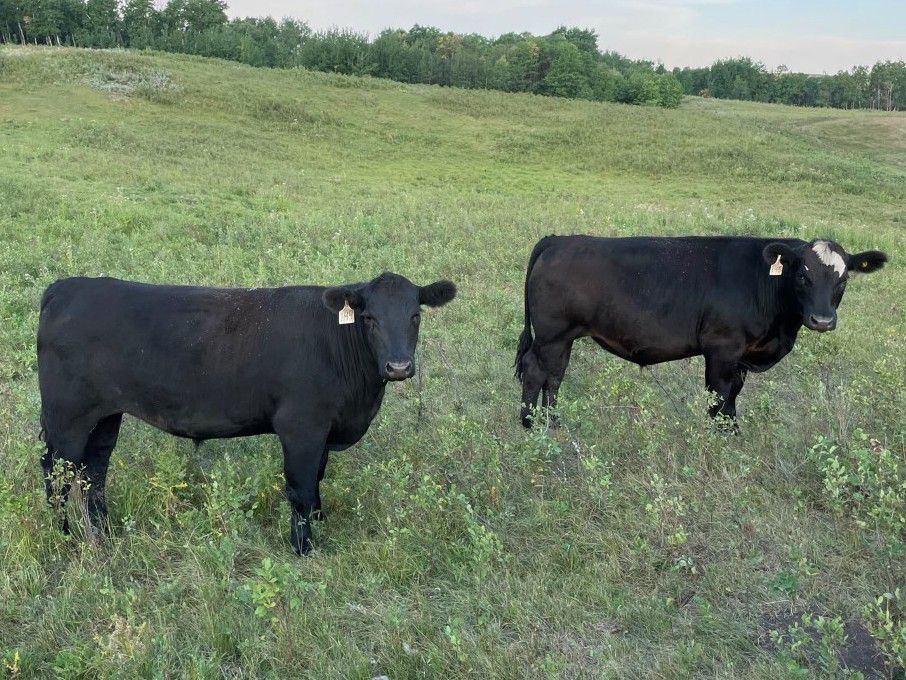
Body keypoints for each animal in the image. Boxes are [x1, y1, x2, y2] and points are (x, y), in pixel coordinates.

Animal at [37, 272, 456, 555]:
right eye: (370, 319)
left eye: (415, 316)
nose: (399, 366)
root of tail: (67, 286)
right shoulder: (300, 425)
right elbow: (302, 487)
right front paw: (303, 548)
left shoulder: (323, 429)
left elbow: (318, 479)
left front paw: (319, 523)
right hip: (67, 416)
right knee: (57, 472)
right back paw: (62, 534)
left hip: (106, 417)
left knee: (93, 472)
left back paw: (102, 533)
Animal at [514, 235, 887, 427]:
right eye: (802, 275)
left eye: (843, 279)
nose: (822, 320)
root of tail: (560, 239)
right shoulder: (722, 348)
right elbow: (719, 394)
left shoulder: (741, 356)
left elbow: (734, 394)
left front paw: (732, 431)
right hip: (551, 336)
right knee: (536, 372)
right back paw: (531, 425)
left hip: (563, 338)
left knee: (555, 377)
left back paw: (553, 423)